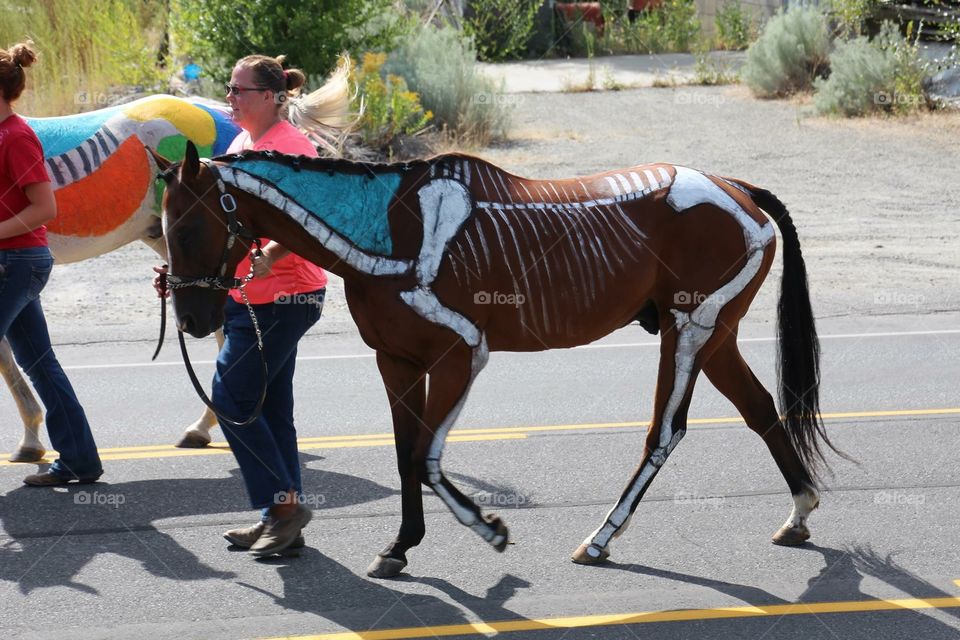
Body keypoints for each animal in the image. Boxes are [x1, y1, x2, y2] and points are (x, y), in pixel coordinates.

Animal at [156, 140, 841, 579]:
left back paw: (600, 539)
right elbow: (406, 455)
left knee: (665, 432)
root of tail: (737, 188)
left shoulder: (462, 353)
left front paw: (489, 528)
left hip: (692, 328)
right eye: (163, 230)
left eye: (187, 228)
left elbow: (427, 458)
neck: (391, 231)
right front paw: (400, 546)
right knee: (761, 410)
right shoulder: (397, 361)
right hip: (715, 334)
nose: (191, 319)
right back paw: (800, 511)